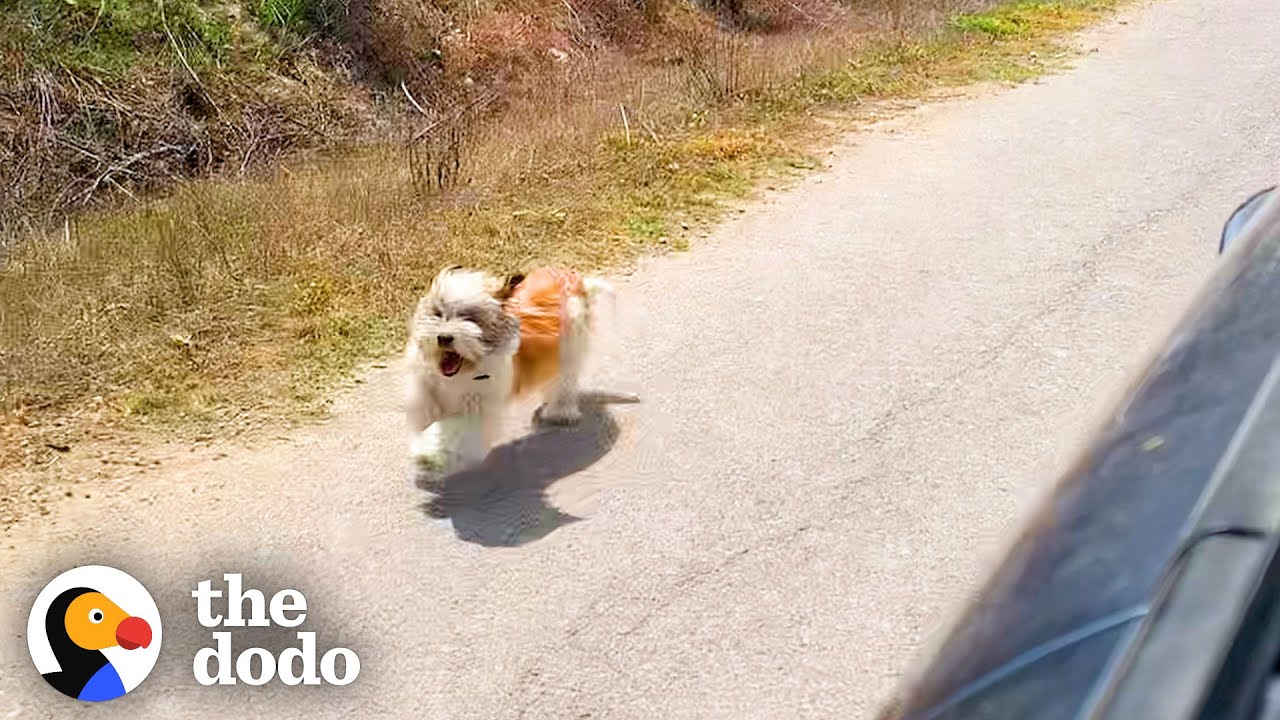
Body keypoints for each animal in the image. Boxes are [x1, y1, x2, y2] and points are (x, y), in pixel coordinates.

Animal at [404, 263, 614, 476]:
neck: (464, 372)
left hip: (569, 343)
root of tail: (577, 280)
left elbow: (455, 431)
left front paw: (430, 455)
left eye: (471, 319)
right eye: (438, 313)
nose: (444, 337)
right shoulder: (428, 391)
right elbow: (428, 415)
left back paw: (561, 412)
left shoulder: (478, 408)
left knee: (564, 380)